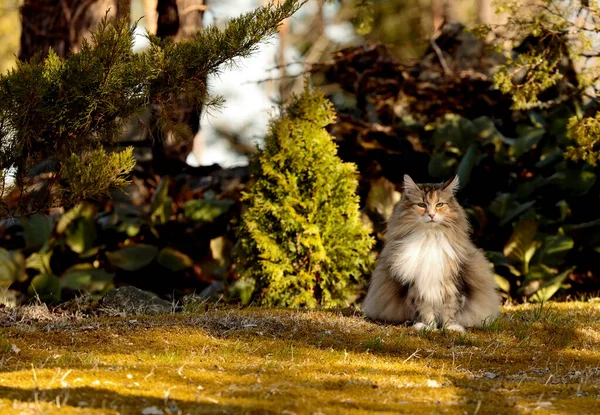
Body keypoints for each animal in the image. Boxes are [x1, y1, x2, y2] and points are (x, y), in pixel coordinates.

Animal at [364, 174, 500, 334]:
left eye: (439, 204)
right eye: (422, 205)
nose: (431, 214)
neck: (430, 237)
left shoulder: (452, 284)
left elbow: (450, 309)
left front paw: (450, 328)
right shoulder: (418, 286)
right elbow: (426, 310)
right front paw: (428, 327)